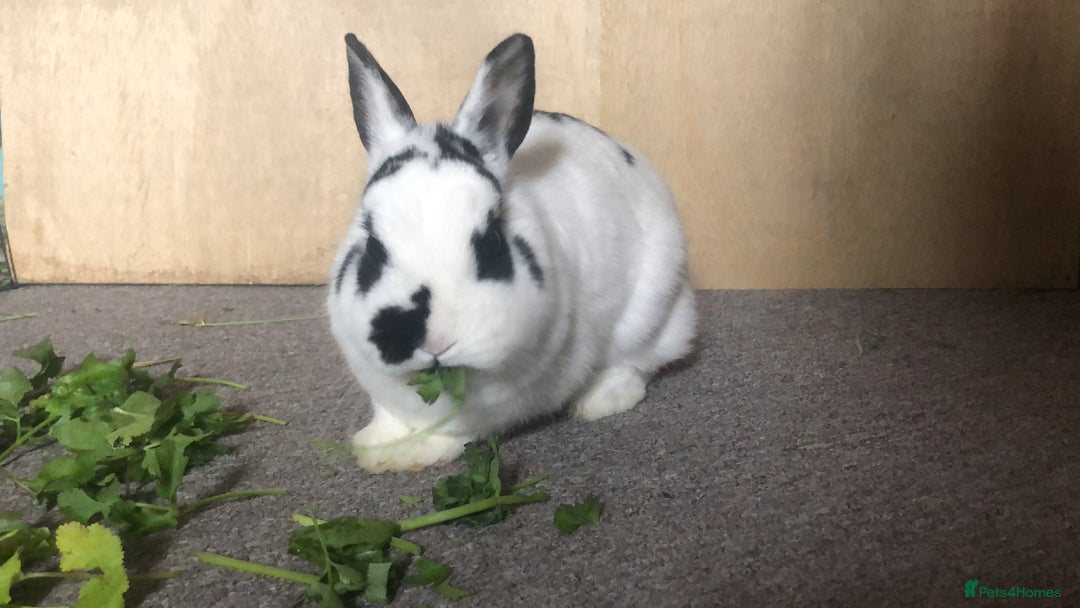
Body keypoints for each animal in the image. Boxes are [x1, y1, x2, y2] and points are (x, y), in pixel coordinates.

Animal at [327, 32, 696, 472]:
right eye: (372, 247)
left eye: (492, 243)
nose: (436, 340)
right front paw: (378, 448)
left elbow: (458, 431)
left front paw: (416, 451)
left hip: (650, 309)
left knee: (638, 360)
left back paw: (597, 401)